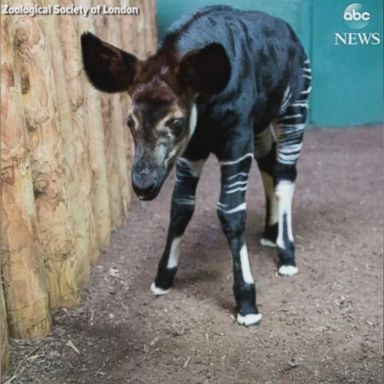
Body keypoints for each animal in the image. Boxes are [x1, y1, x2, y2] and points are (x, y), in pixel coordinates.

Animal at [82, 4, 312, 326]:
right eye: (130, 122)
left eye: (176, 123)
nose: (143, 185)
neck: (207, 104)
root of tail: (291, 33)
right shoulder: (193, 149)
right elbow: (181, 206)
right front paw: (163, 278)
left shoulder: (235, 141)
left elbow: (230, 212)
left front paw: (247, 301)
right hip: (260, 124)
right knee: (269, 162)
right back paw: (270, 233)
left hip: (293, 107)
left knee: (285, 176)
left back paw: (286, 254)